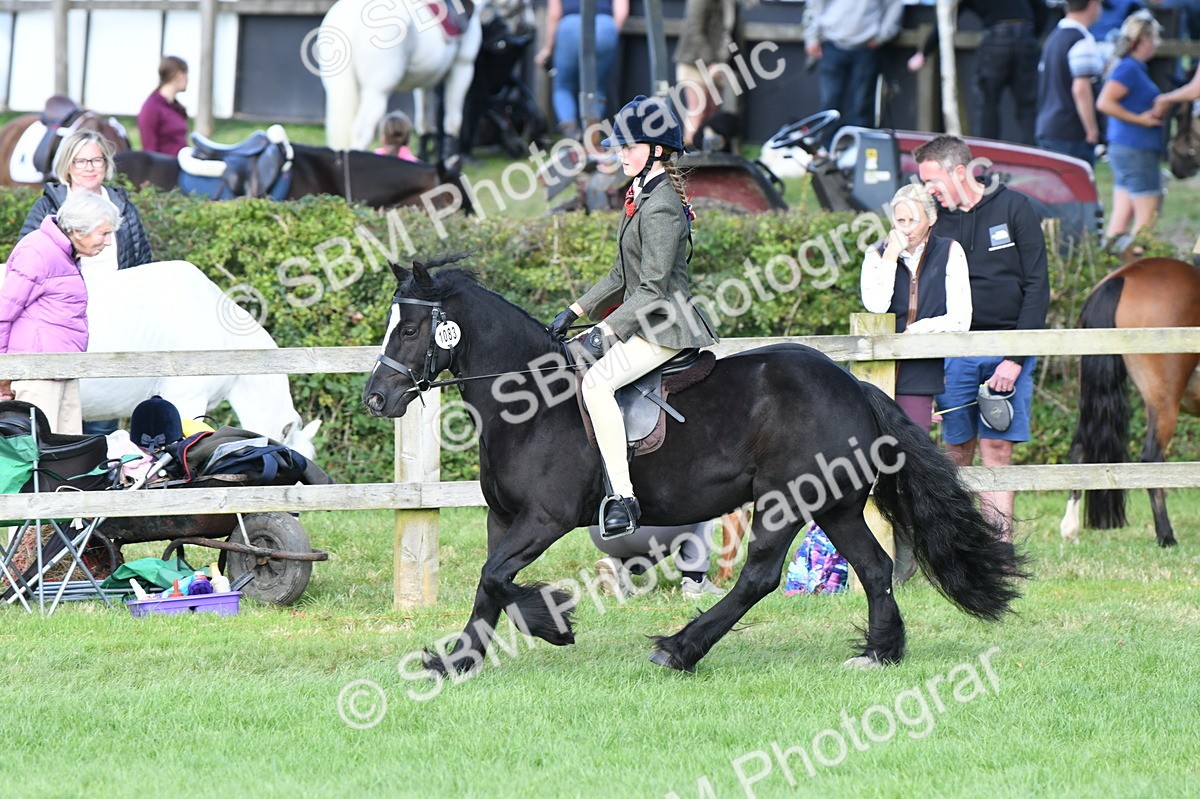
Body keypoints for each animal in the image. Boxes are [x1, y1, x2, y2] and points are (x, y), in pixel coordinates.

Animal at [362, 258, 1026, 675]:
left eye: (412, 327)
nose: (376, 398)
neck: (529, 401)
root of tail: (855, 386)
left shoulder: (543, 520)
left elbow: (497, 578)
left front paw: (553, 622)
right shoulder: (503, 519)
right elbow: (488, 585)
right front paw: (456, 662)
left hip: (786, 500)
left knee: (759, 576)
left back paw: (680, 650)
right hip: (833, 504)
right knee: (874, 566)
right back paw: (880, 653)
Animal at [1060, 257, 1200, 548]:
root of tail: (1125, 276)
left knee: (1079, 447)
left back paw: (1070, 530)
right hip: (1162, 400)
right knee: (1152, 456)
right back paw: (1166, 535)